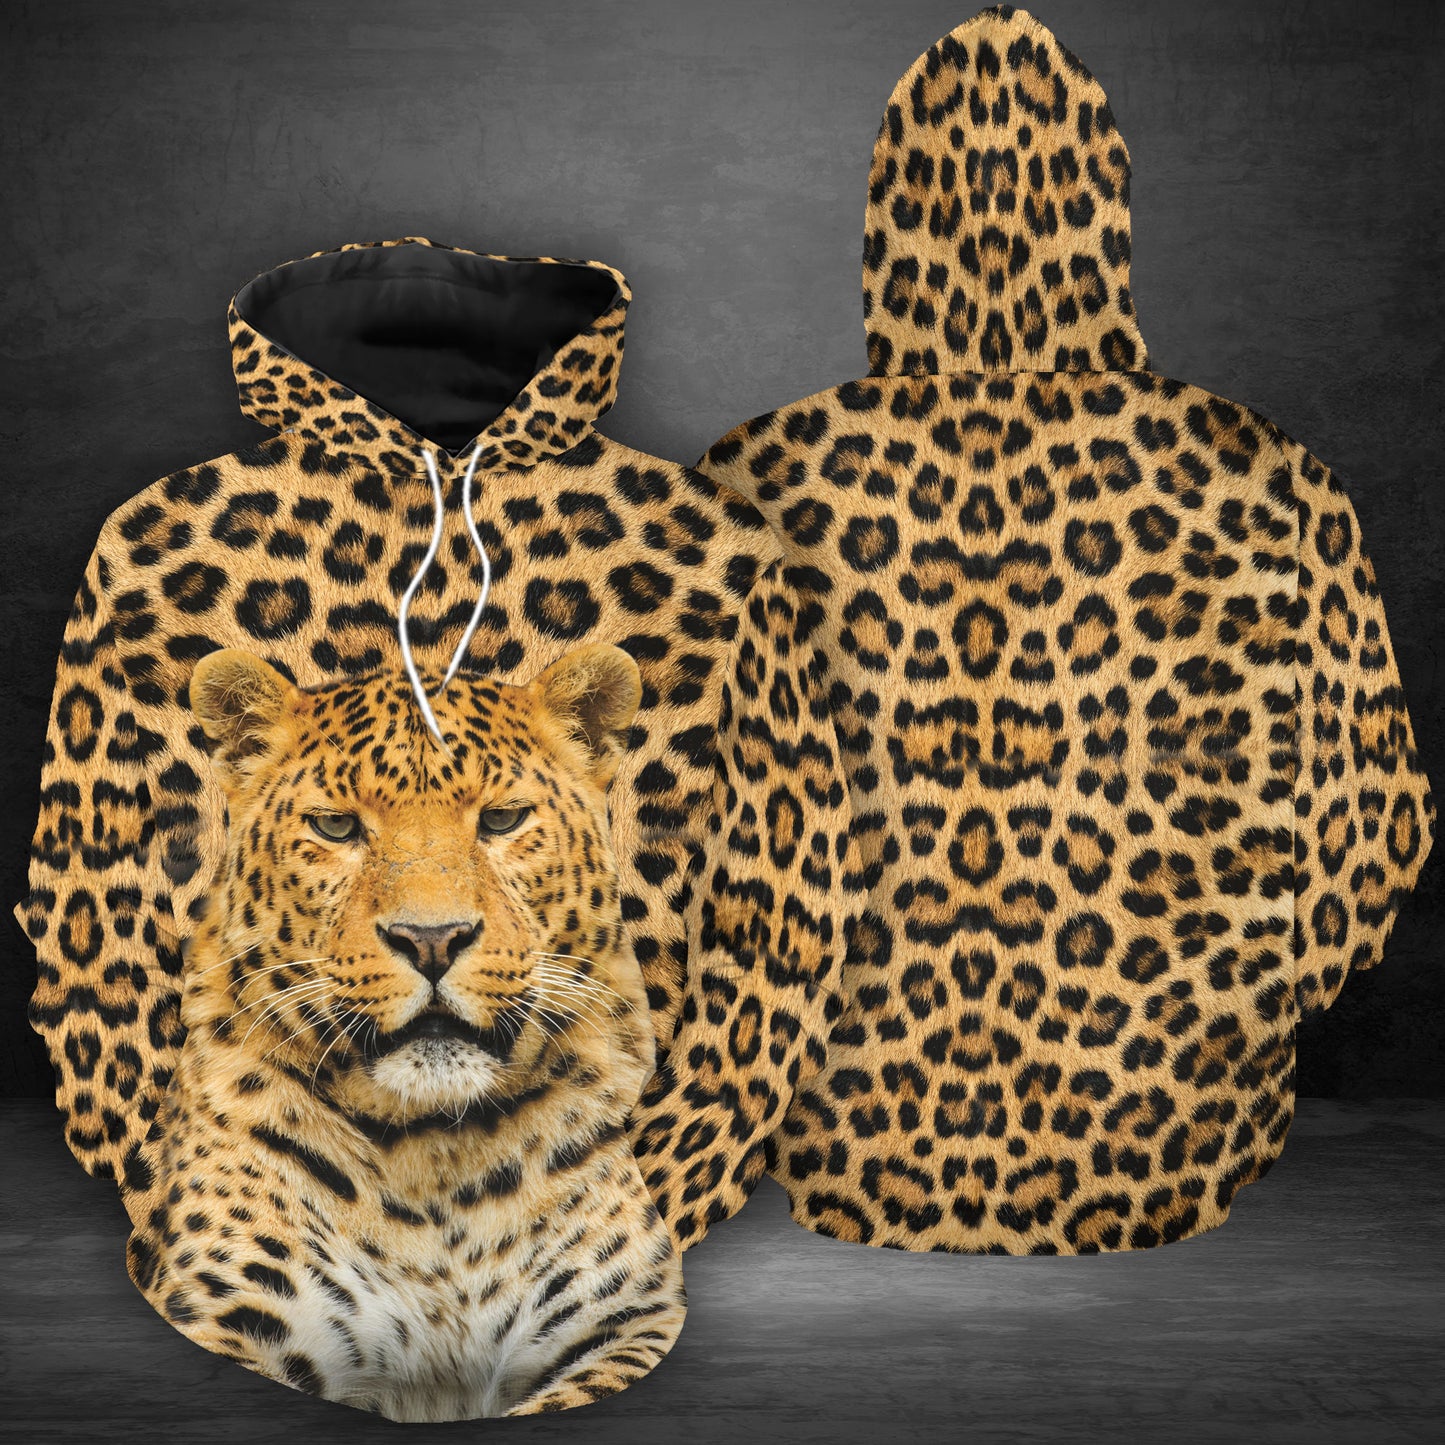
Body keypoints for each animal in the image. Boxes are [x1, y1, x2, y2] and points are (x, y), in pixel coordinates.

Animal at [118, 640, 686, 1419]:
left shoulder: (623, 1322)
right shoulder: (231, 1312)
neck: (434, 1156)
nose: (433, 939)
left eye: (502, 819)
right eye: (335, 827)